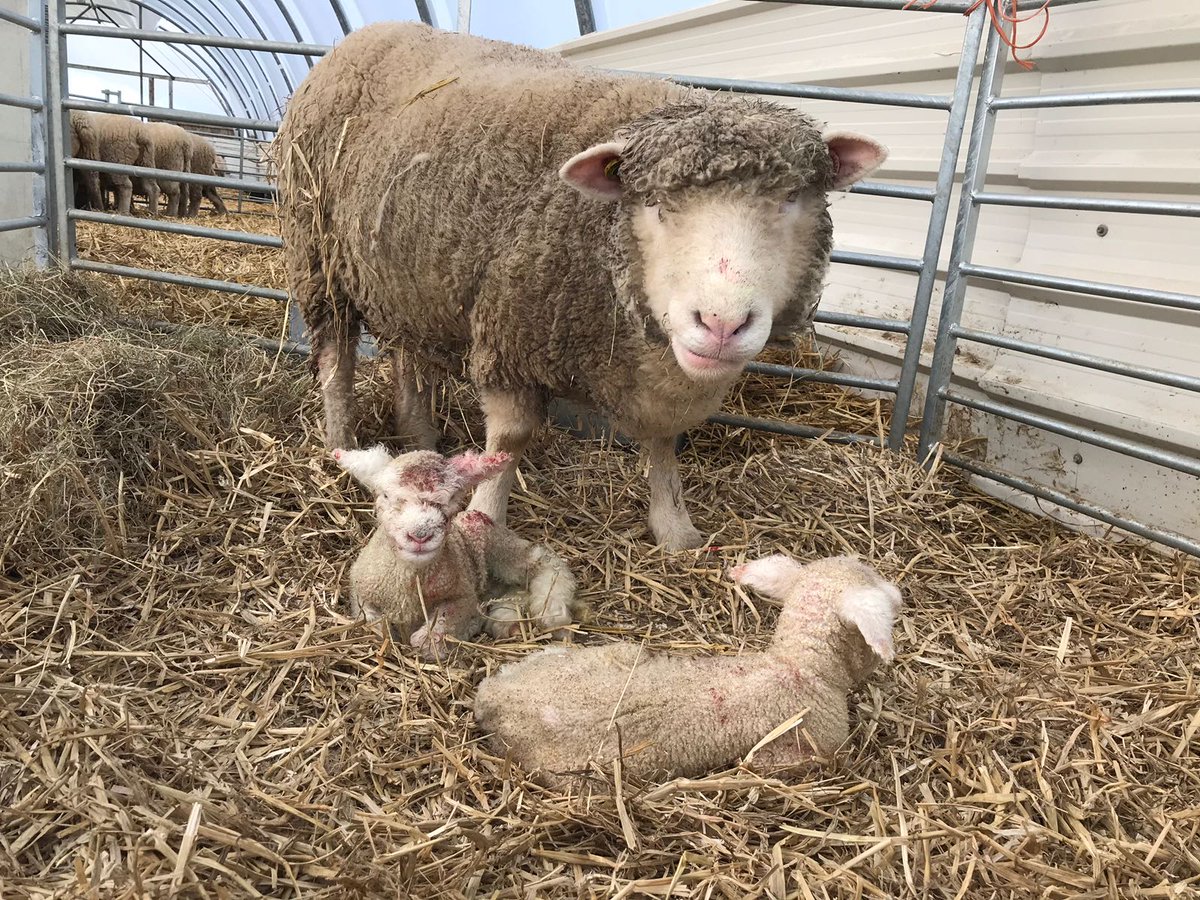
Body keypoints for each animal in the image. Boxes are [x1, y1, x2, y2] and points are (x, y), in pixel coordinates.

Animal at [276, 22, 888, 551]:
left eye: (791, 199)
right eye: (655, 204)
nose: (721, 323)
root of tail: (366, 34)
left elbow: (662, 442)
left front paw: (674, 528)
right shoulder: (510, 335)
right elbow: (511, 440)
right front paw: (484, 519)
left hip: (406, 277)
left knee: (408, 358)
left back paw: (420, 441)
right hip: (317, 253)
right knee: (336, 360)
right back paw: (343, 447)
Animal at [333, 445, 582, 661]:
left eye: (451, 498)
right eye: (385, 495)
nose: (420, 535)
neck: (408, 586)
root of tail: (477, 514)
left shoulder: (463, 595)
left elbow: (436, 629)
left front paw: (440, 638)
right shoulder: (360, 587)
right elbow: (372, 623)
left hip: (499, 548)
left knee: (543, 560)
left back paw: (551, 611)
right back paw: (505, 620)